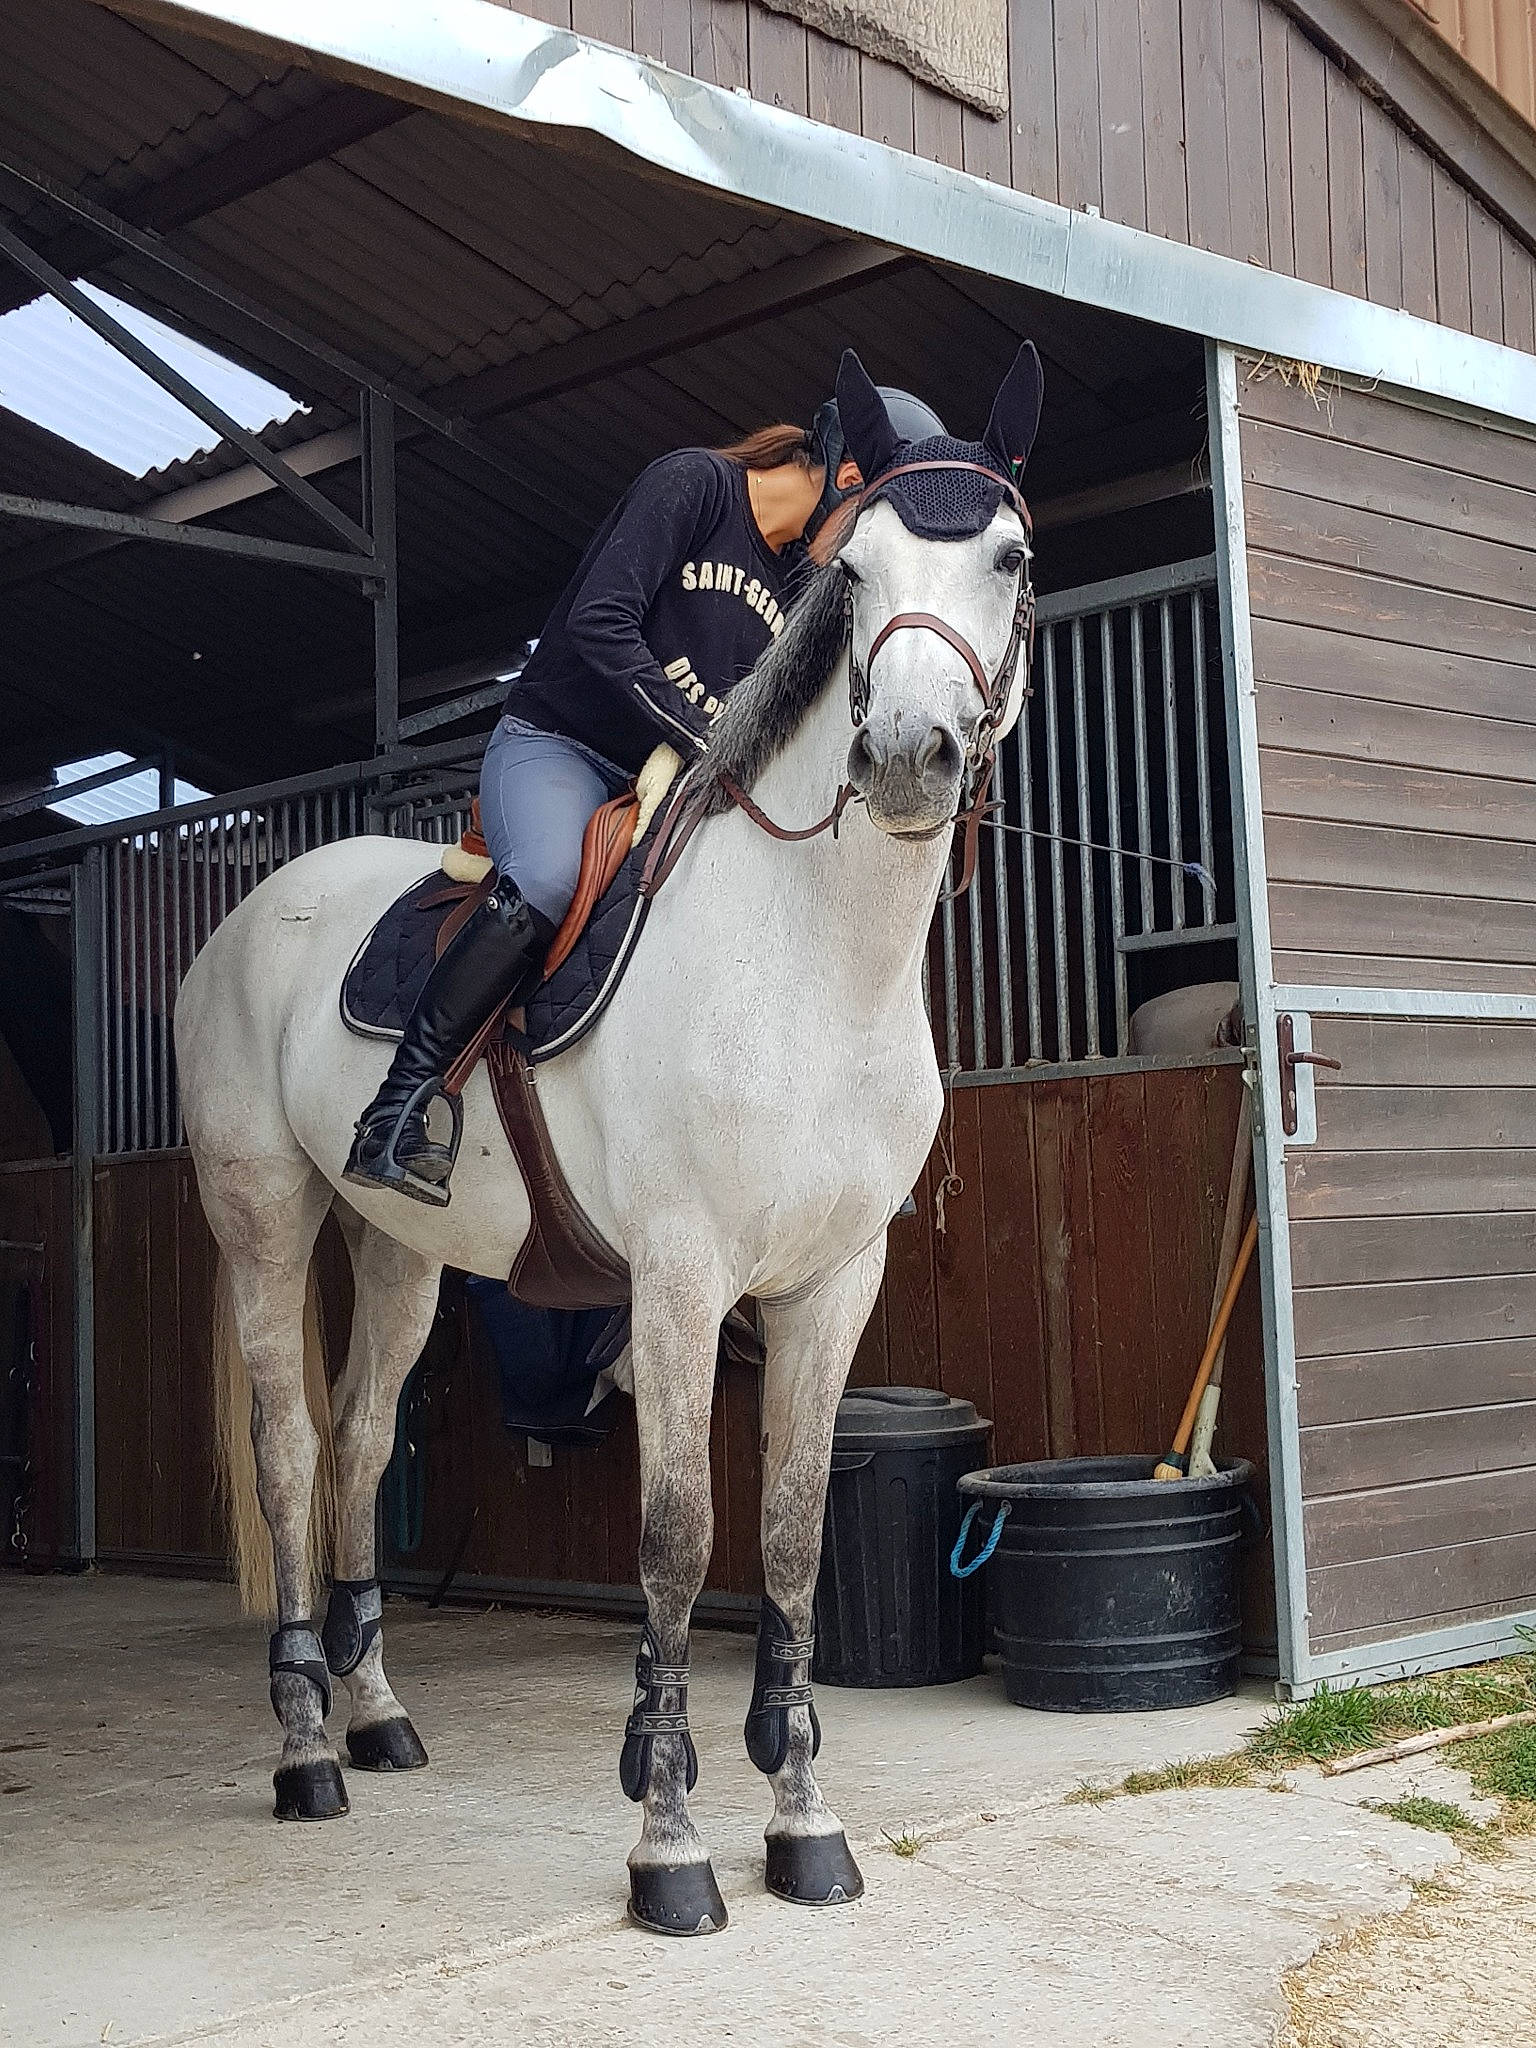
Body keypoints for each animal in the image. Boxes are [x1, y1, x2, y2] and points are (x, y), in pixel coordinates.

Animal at [174, 344, 1043, 1936]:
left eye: (1006, 557)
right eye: (858, 574)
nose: (905, 758)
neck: (813, 961)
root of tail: (259, 905)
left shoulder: (831, 1288)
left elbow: (792, 1539)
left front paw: (806, 1824)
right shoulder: (681, 1284)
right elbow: (678, 1540)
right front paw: (670, 1839)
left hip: (400, 1253)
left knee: (361, 1439)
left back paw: (379, 1715)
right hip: (265, 1216)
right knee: (288, 1448)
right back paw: (308, 1747)